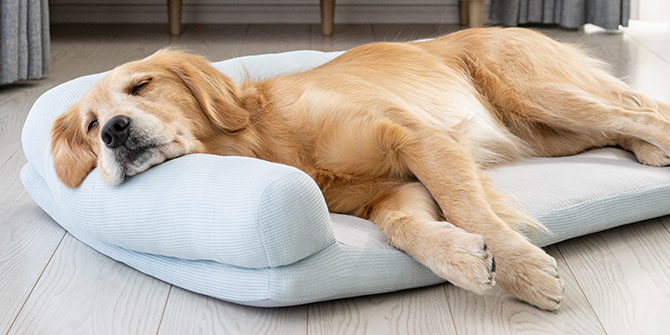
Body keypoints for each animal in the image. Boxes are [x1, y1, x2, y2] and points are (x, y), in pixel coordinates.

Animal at [50, 27, 670, 312]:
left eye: (141, 86)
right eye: (89, 124)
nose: (113, 132)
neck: (267, 141)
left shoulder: (420, 137)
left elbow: (468, 206)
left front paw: (523, 270)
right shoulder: (394, 189)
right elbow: (405, 227)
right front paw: (465, 260)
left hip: (537, 94)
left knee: (643, 113)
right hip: (550, 133)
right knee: (627, 124)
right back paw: (648, 154)